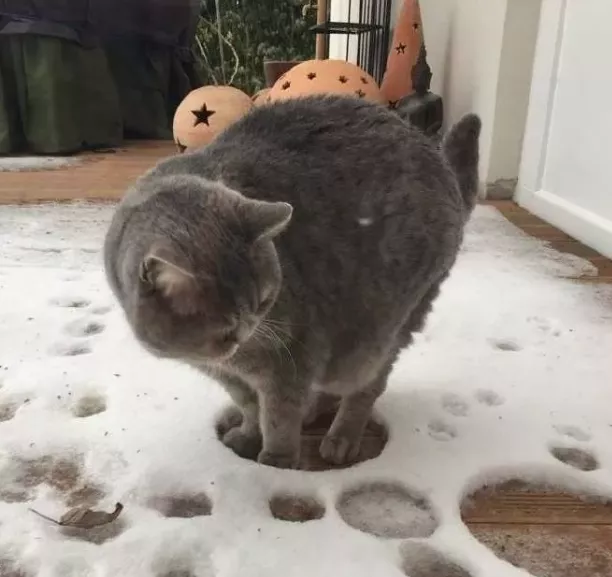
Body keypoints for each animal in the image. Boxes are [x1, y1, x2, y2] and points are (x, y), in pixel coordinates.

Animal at [103, 94, 480, 468]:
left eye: (263, 301)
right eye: (223, 328)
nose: (246, 330)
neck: (235, 359)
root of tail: (439, 158)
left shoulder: (292, 356)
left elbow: (278, 416)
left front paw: (275, 462)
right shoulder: (221, 371)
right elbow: (248, 404)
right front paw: (247, 437)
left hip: (379, 336)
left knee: (367, 386)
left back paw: (341, 438)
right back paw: (313, 411)